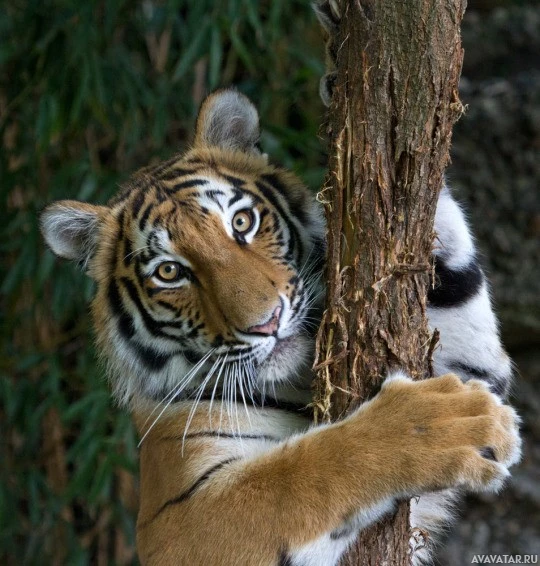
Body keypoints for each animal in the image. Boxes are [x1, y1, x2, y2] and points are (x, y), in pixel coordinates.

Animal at [40, 82, 520, 564]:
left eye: (242, 221)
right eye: (169, 272)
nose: (266, 323)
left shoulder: (471, 364)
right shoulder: (176, 522)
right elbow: (301, 475)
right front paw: (444, 426)